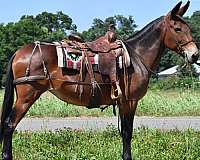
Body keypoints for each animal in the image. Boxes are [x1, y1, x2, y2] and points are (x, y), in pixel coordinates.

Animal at [0, 1, 199, 160]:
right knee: (9, 125)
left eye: (188, 28)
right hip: (27, 96)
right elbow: (127, 132)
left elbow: (125, 132)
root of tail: (19, 52)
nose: (195, 55)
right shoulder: (129, 101)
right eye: (178, 29)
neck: (136, 56)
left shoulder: (124, 102)